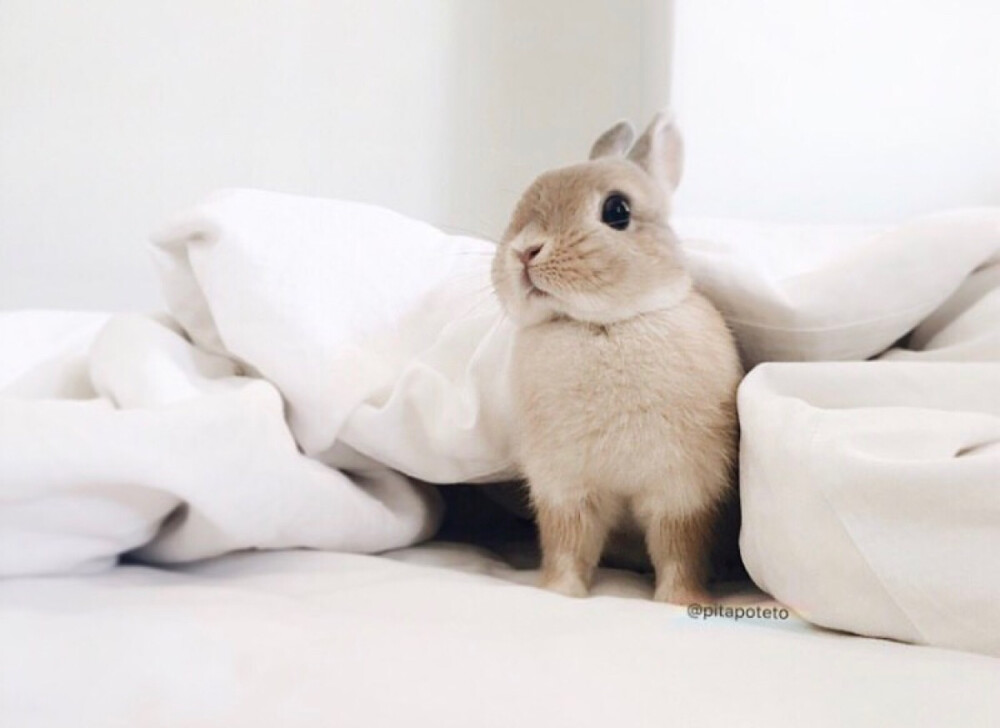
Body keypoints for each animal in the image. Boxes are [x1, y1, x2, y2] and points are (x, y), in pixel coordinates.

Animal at [491, 111, 743, 604]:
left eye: (617, 211)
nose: (524, 251)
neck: (605, 325)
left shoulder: (684, 490)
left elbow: (679, 549)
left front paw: (682, 600)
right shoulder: (564, 489)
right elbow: (567, 545)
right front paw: (560, 592)